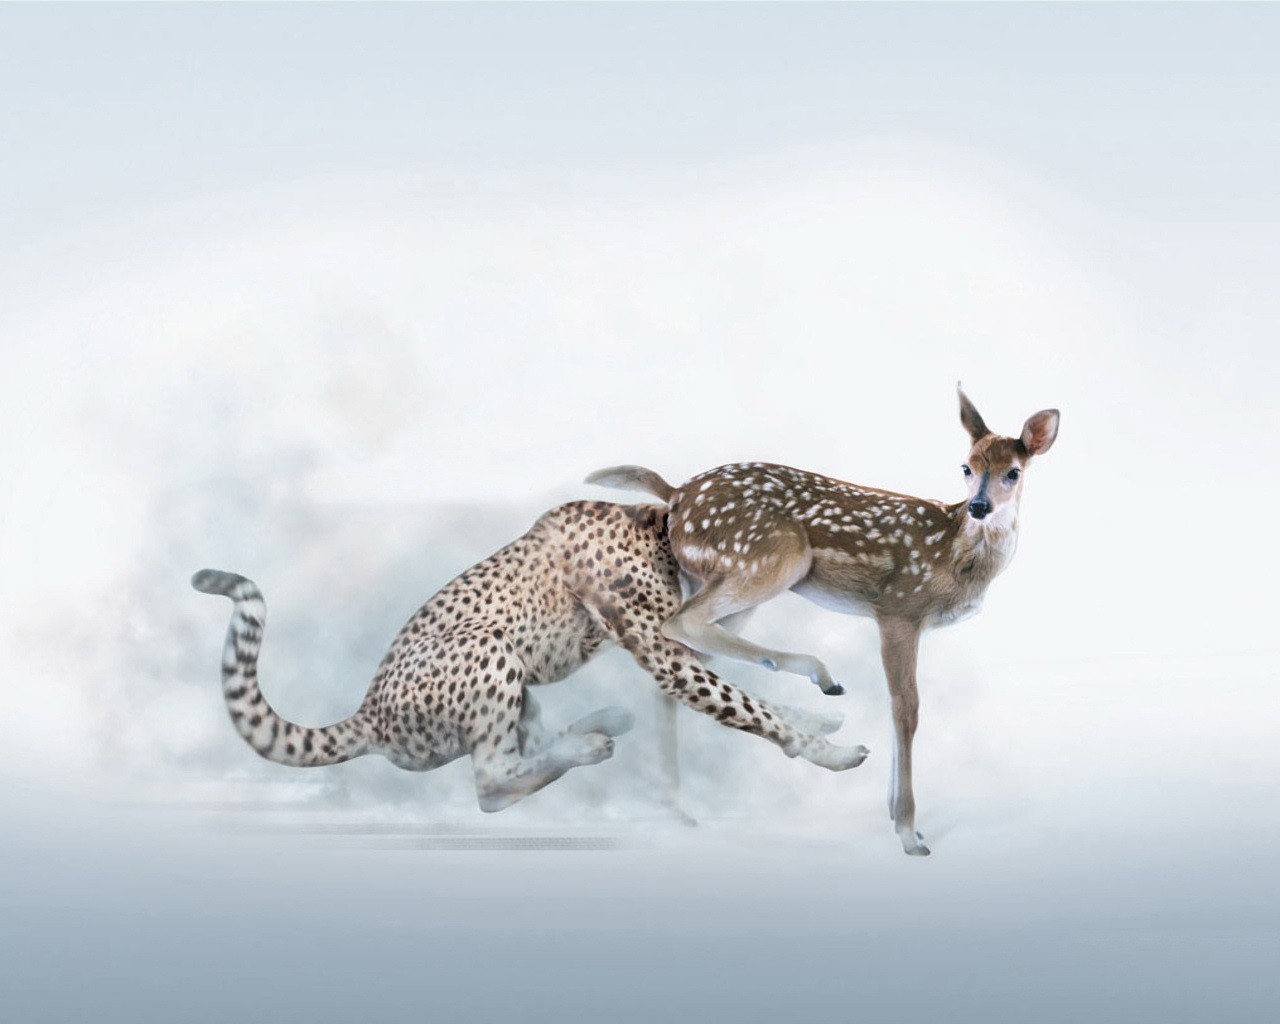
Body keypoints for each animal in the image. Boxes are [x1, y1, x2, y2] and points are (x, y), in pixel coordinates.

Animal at [586, 385, 1059, 855]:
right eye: (967, 466)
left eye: (1013, 472)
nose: (980, 506)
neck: (956, 553)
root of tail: (675, 494)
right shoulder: (899, 607)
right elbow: (905, 708)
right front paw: (909, 832)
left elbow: (897, 707)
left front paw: (900, 820)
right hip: (774, 557)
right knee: (680, 625)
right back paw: (819, 675)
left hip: (725, 579)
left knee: (679, 664)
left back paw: (679, 809)